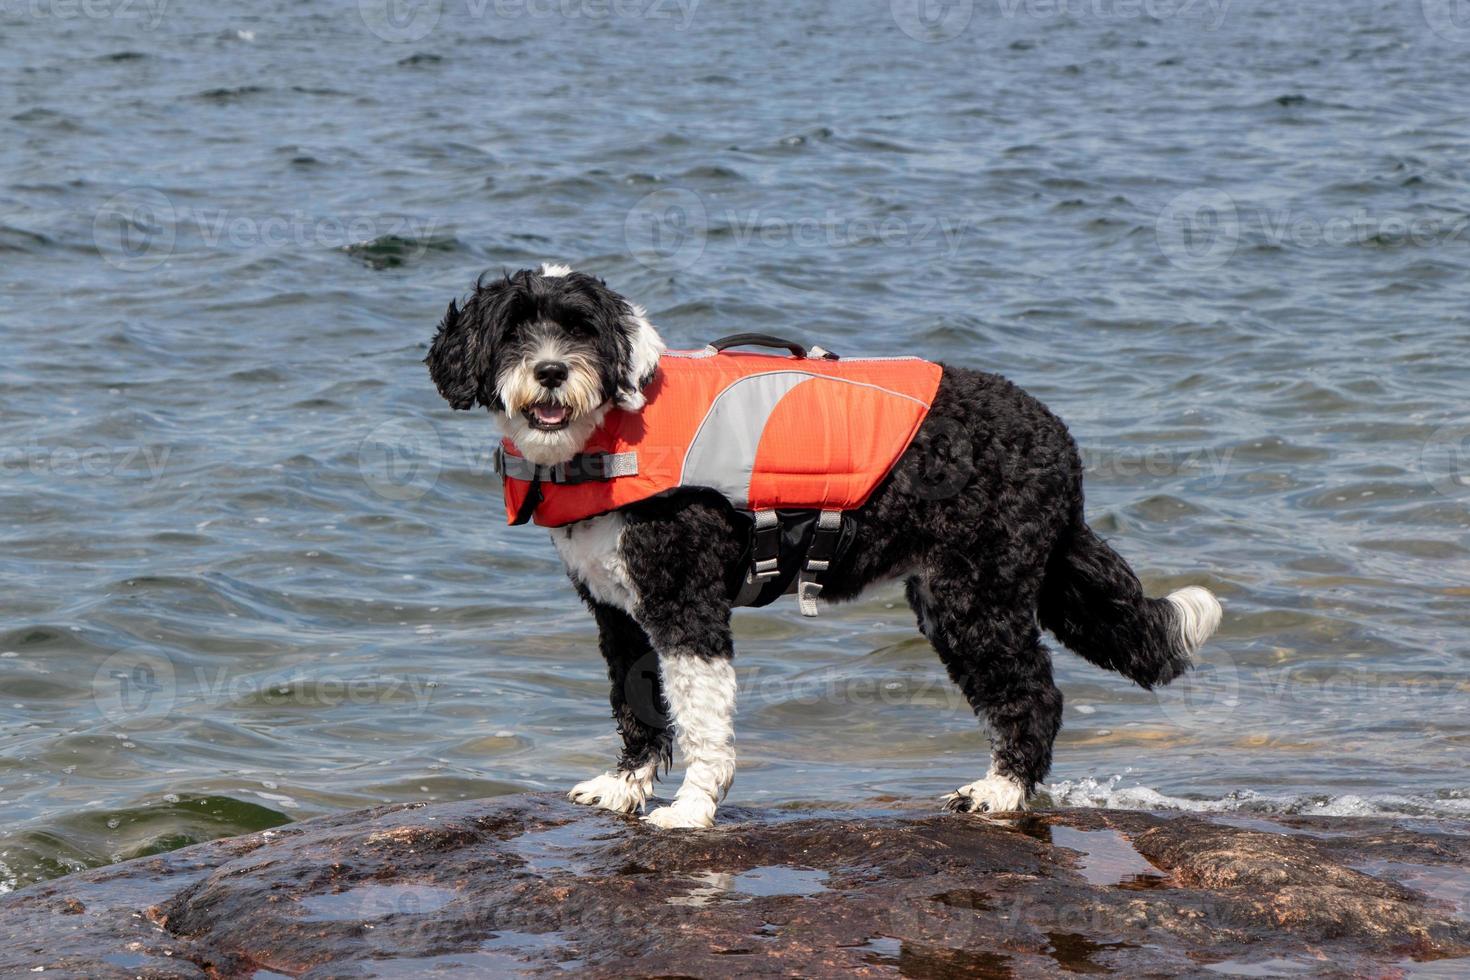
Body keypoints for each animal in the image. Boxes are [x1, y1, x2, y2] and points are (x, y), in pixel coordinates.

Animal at [429, 262, 1228, 828]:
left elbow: (700, 717)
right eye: (513, 331)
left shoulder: (686, 606)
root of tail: (1057, 440)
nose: (551, 370)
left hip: (974, 595)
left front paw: (691, 808)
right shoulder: (618, 613)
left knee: (1033, 693)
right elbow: (638, 703)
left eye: (583, 330)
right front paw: (623, 786)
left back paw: (1000, 790)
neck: (612, 433)